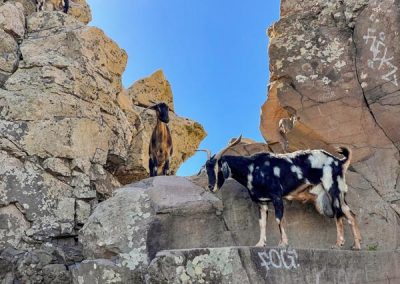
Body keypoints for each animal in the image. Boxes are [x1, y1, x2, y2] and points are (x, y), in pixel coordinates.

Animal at [200, 136, 362, 250]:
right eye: (206, 170)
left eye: (218, 168)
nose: (210, 187)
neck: (252, 168)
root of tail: (340, 162)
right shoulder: (262, 202)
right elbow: (262, 223)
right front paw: (260, 244)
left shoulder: (276, 196)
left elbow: (279, 219)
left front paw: (283, 243)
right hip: (340, 193)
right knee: (350, 214)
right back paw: (357, 246)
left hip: (332, 188)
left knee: (338, 214)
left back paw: (338, 244)